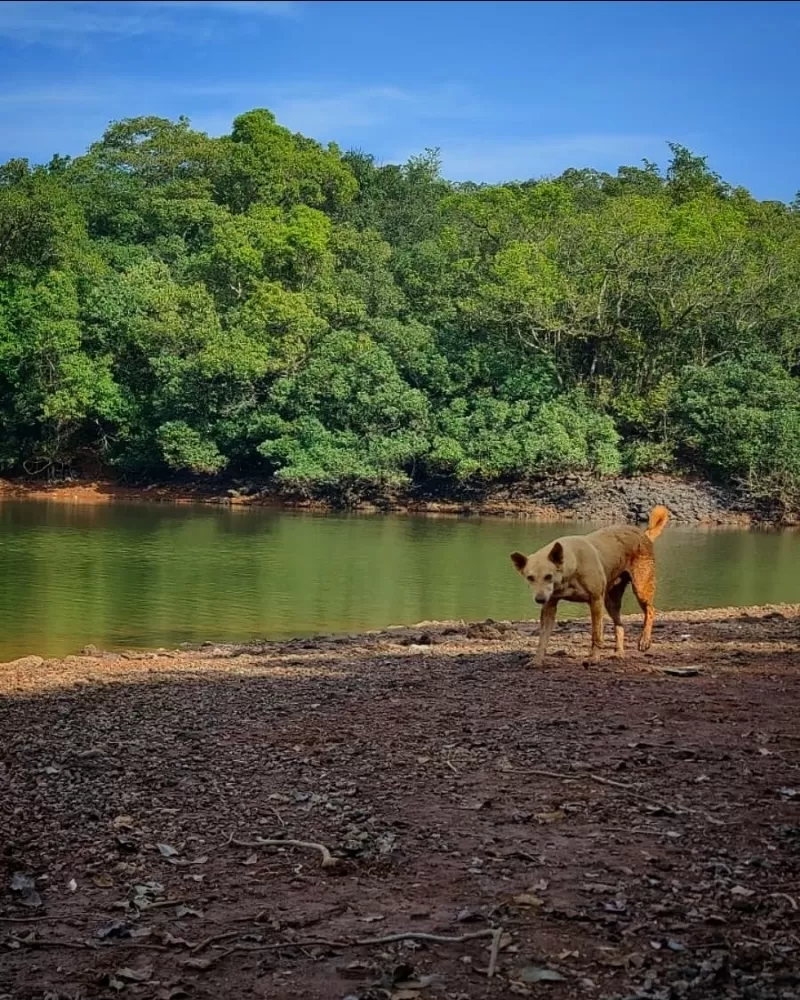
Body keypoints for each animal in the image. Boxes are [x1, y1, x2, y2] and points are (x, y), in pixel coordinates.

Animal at [512, 508, 668, 664]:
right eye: (530, 578)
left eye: (548, 576)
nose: (539, 599)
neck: (571, 569)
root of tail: (645, 534)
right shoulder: (550, 605)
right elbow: (543, 638)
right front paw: (537, 660)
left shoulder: (595, 600)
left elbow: (596, 634)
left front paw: (594, 657)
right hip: (611, 601)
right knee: (620, 625)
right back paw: (619, 653)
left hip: (641, 587)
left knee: (650, 611)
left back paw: (644, 640)